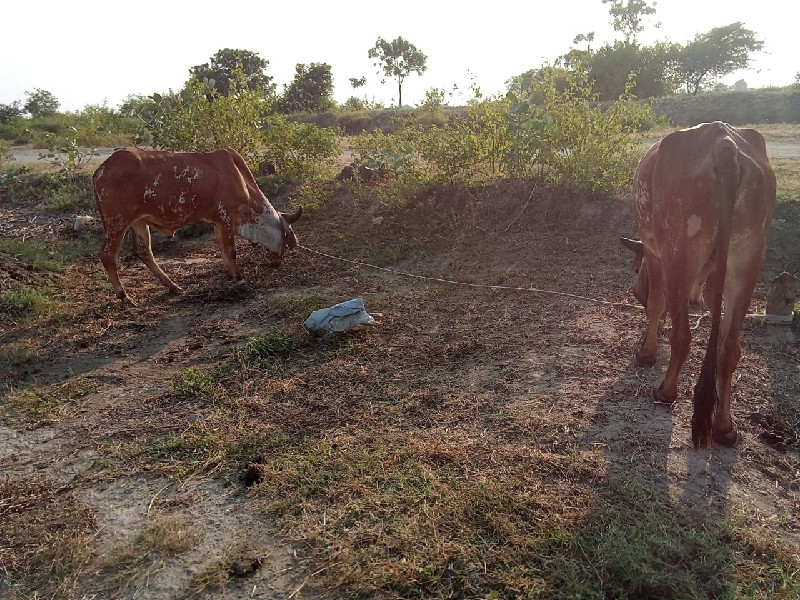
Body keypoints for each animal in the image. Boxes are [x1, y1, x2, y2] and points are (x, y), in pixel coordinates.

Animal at [93, 148, 300, 302]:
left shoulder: (217, 222)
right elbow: (231, 251)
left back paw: (172, 286)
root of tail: (100, 169)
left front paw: (229, 274)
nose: (277, 263)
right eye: (285, 238)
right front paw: (240, 281)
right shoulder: (226, 218)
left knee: (144, 252)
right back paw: (124, 296)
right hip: (117, 222)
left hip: (138, 222)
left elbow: (222, 249)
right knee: (107, 255)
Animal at [620, 122, 772, 448]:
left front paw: (647, 352)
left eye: (637, 273)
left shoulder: (655, 252)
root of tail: (724, 145)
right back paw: (725, 426)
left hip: (679, 251)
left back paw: (666, 391)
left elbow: (656, 304)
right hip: (749, 258)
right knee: (729, 348)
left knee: (682, 336)